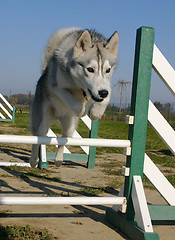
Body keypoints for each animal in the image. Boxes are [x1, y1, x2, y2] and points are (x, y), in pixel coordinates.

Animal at [29, 27, 119, 168]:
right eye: (90, 69)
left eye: (108, 70)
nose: (102, 93)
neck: (80, 86)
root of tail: (57, 116)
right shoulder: (56, 87)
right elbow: (75, 105)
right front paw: (83, 111)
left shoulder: (106, 86)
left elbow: (105, 99)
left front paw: (95, 112)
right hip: (42, 122)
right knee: (38, 139)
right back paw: (33, 161)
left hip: (69, 127)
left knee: (63, 140)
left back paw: (58, 159)